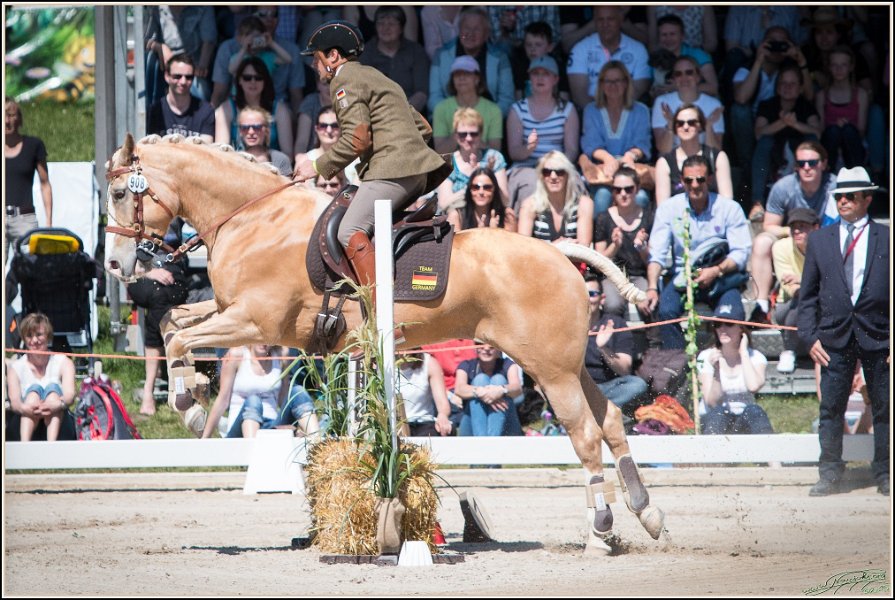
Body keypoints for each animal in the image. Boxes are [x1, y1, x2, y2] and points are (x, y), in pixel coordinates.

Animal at [103, 133, 665, 553]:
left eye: (119, 193)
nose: (113, 265)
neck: (253, 218)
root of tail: (560, 253)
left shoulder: (254, 321)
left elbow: (180, 338)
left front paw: (188, 405)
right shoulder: (230, 312)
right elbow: (174, 323)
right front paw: (194, 394)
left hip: (549, 370)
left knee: (585, 435)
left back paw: (601, 529)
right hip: (571, 366)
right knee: (611, 422)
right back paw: (646, 514)